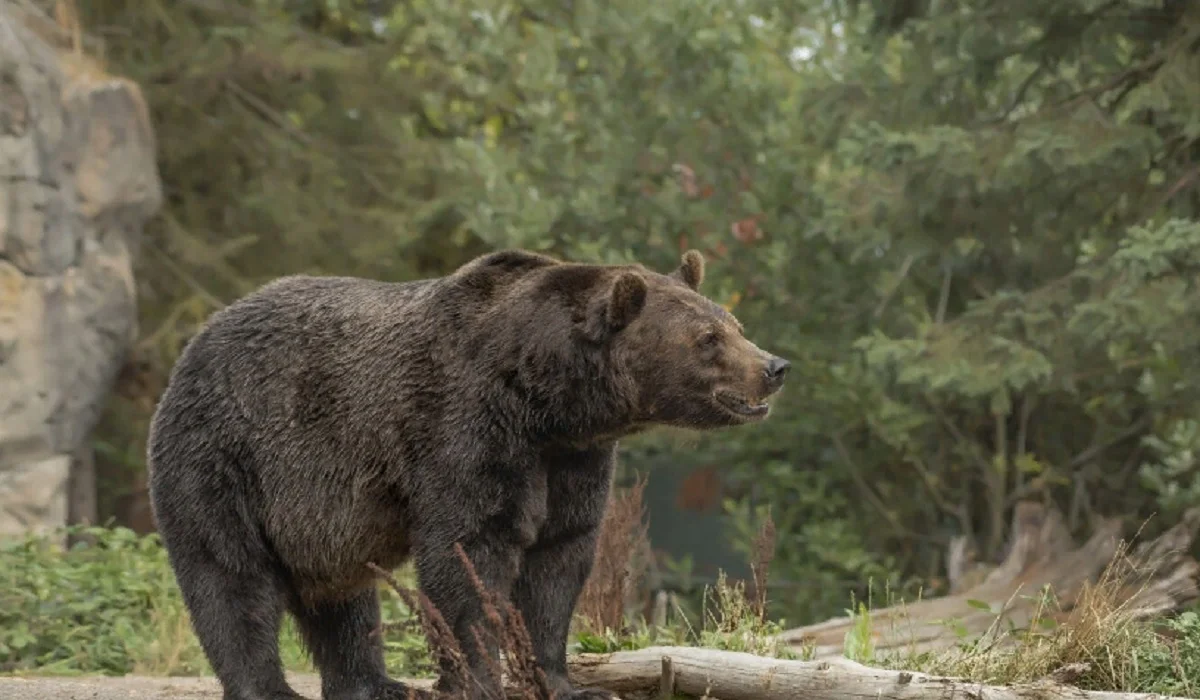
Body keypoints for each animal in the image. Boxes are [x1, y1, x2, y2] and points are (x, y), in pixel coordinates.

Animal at [147, 250, 787, 700]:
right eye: (707, 339)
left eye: (733, 323)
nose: (773, 366)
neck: (548, 401)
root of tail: (195, 344)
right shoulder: (465, 429)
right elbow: (467, 553)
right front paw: (477, 676)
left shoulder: (572, 461)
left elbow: (559, 560)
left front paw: (566, 681)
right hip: (227, 457)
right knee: (231, 576)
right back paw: (270, 688)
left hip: (317, 518)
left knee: (343, 597)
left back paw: (376, 684)